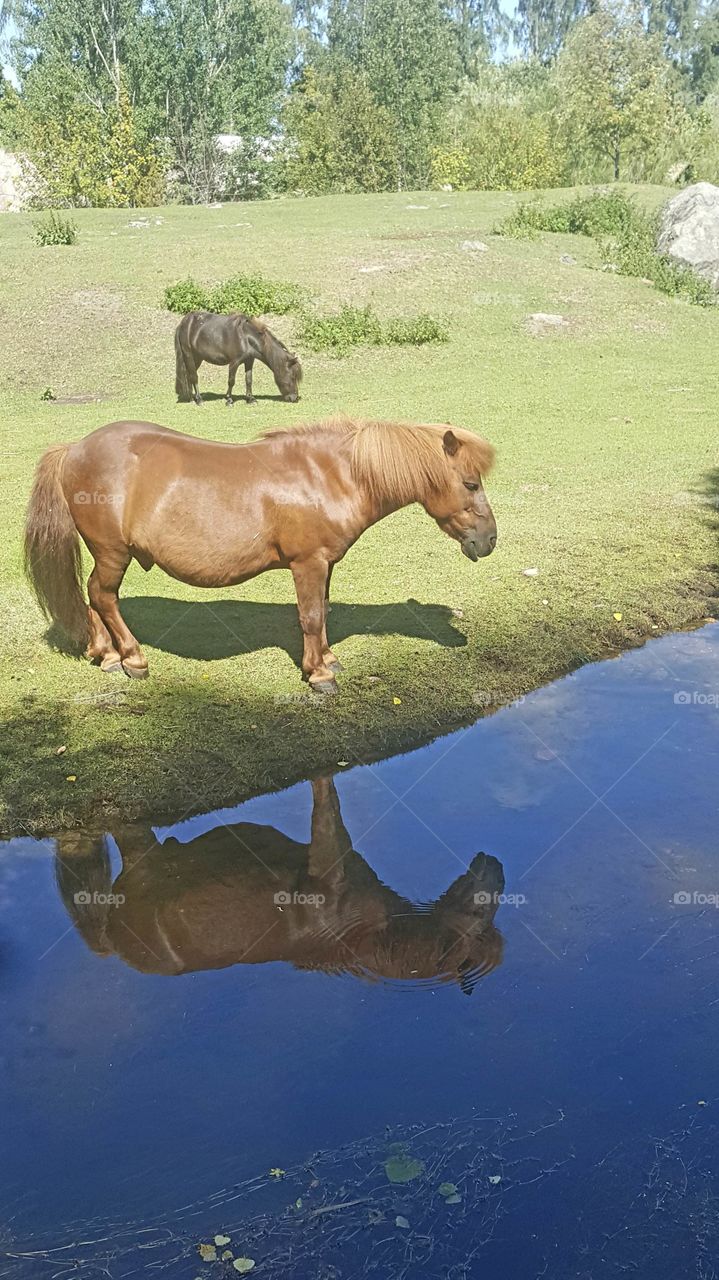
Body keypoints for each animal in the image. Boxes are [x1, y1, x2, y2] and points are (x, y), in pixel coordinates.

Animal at [24, 416, 496, 693]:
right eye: (470, 483)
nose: (489, 540)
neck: (330, 475)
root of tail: (74, 449)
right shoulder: (308, 563)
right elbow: (311, 616)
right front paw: (319, 675)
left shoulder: (324, 564)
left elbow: (323, 610)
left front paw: (328, 660)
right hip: (112, 554)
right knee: (102, 596)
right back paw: (132, 659)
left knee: (92, 597)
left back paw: (104, 655)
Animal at [54, 776, 505, 990]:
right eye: (481, 913)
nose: (497, 863)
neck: (366, 933)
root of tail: (112, 941)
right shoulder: (329, 856)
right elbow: (326, 801)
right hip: (139, 852)